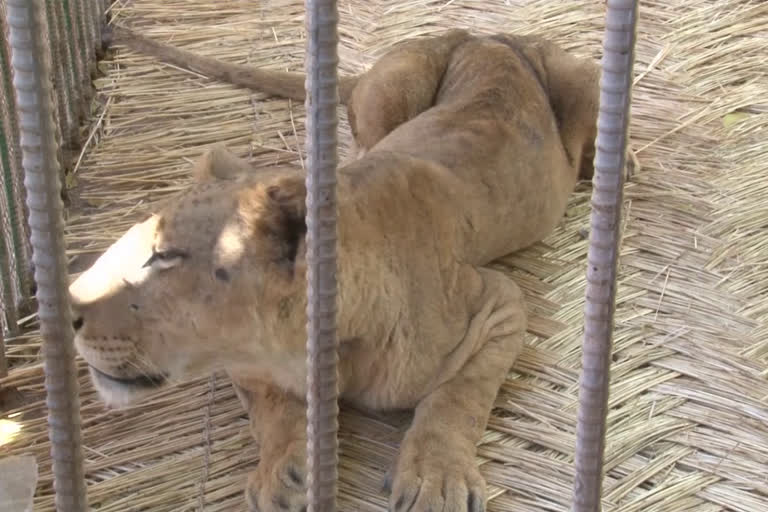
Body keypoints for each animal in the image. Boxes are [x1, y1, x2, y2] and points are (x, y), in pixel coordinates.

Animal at [69, 28, 600, 512]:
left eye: (163, 257)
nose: (70, 311)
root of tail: (487, 35)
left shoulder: (497, 301)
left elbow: (460, 395)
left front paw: (436, 479)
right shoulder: (245, 360)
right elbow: (272, 407)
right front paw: (282, 471)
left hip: (583, 78)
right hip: (389, 95)